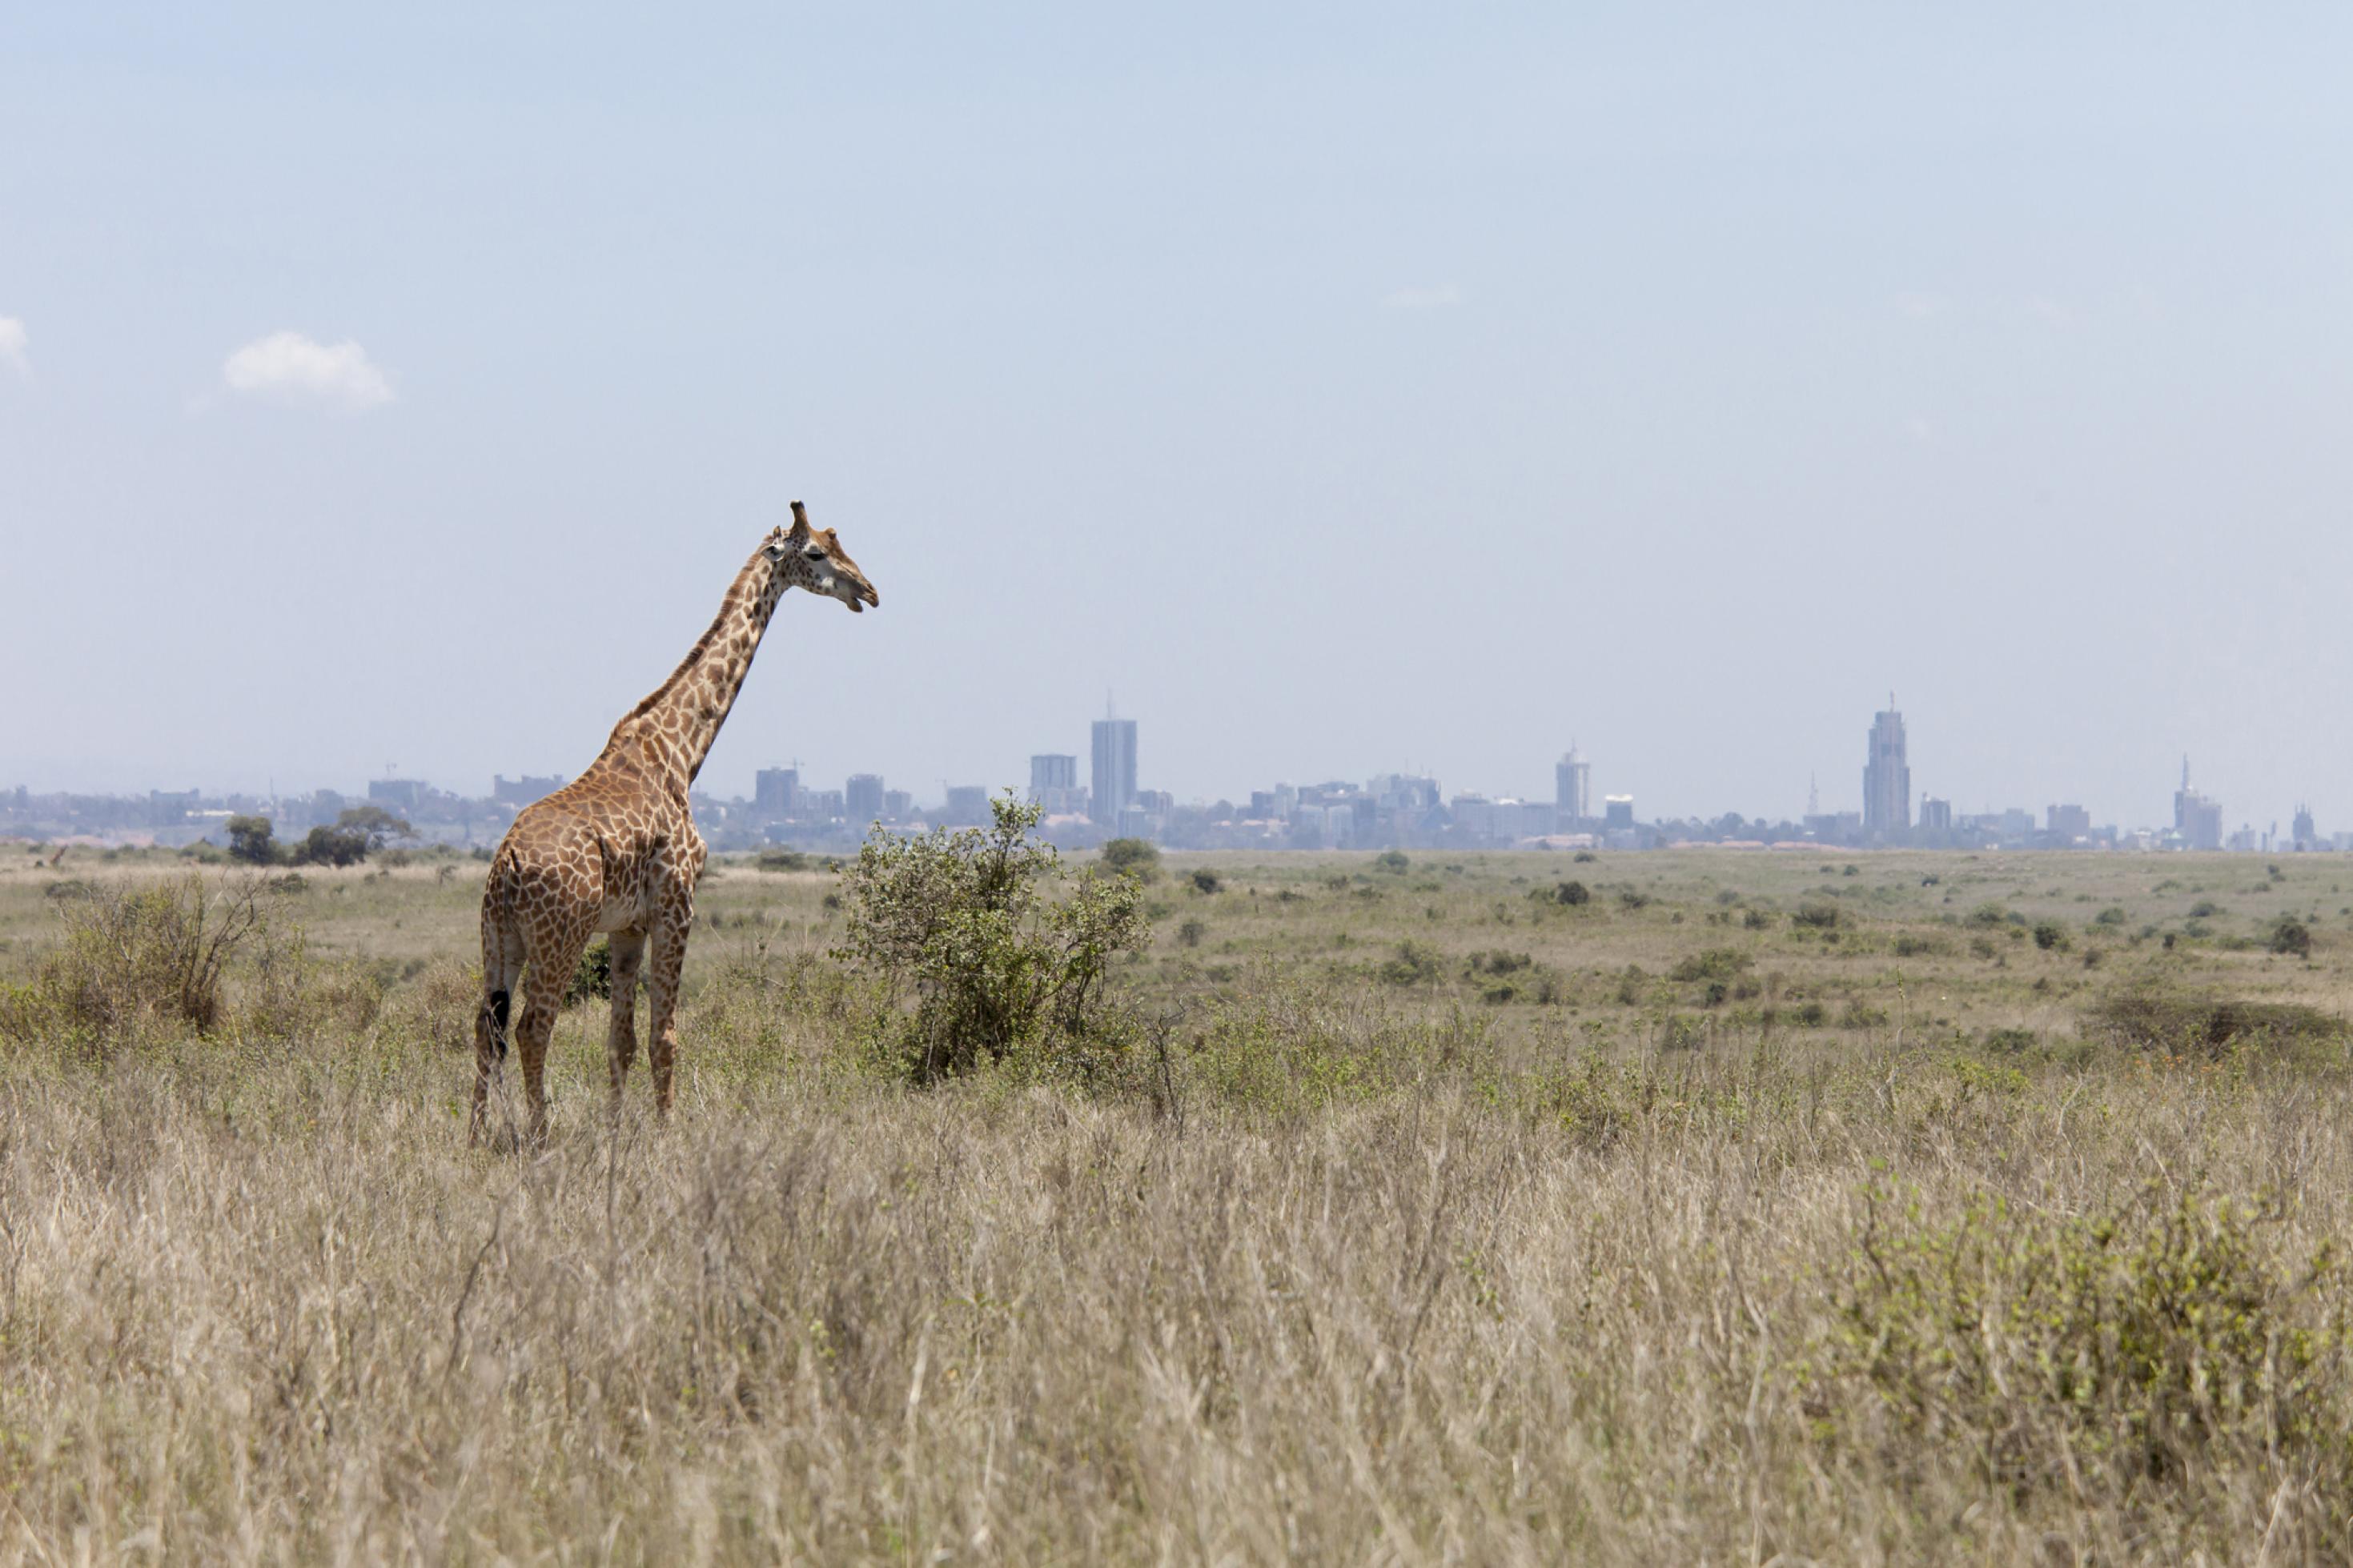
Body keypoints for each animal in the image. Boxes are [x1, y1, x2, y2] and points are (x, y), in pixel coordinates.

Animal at [472, 510, 880, 1147]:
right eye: (815, 552)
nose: (868, 590)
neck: (682, 752)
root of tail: (507, 865)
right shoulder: (677, 904)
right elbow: (664, 1037)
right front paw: (667, 1135)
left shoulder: (627, 926)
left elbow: (620, 1041)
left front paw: (616, 1133)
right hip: (559, 934)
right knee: (532, 1027)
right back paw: (540, 1136)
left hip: (499, 937)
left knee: (484, 1029)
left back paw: (473, 1136)